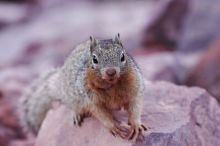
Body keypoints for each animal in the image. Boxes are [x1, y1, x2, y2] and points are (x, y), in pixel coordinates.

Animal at [19, 33, 148, 141]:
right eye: (94, 59)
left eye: (123, 56)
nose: (111, 72)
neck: (112, 85)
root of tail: (59, 83)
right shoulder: (91, 99)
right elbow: (101, 114)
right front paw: (114, 126)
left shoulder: (135, 88)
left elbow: (135, 107)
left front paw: (136, 125)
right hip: (72, 98)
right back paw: (77, 115)